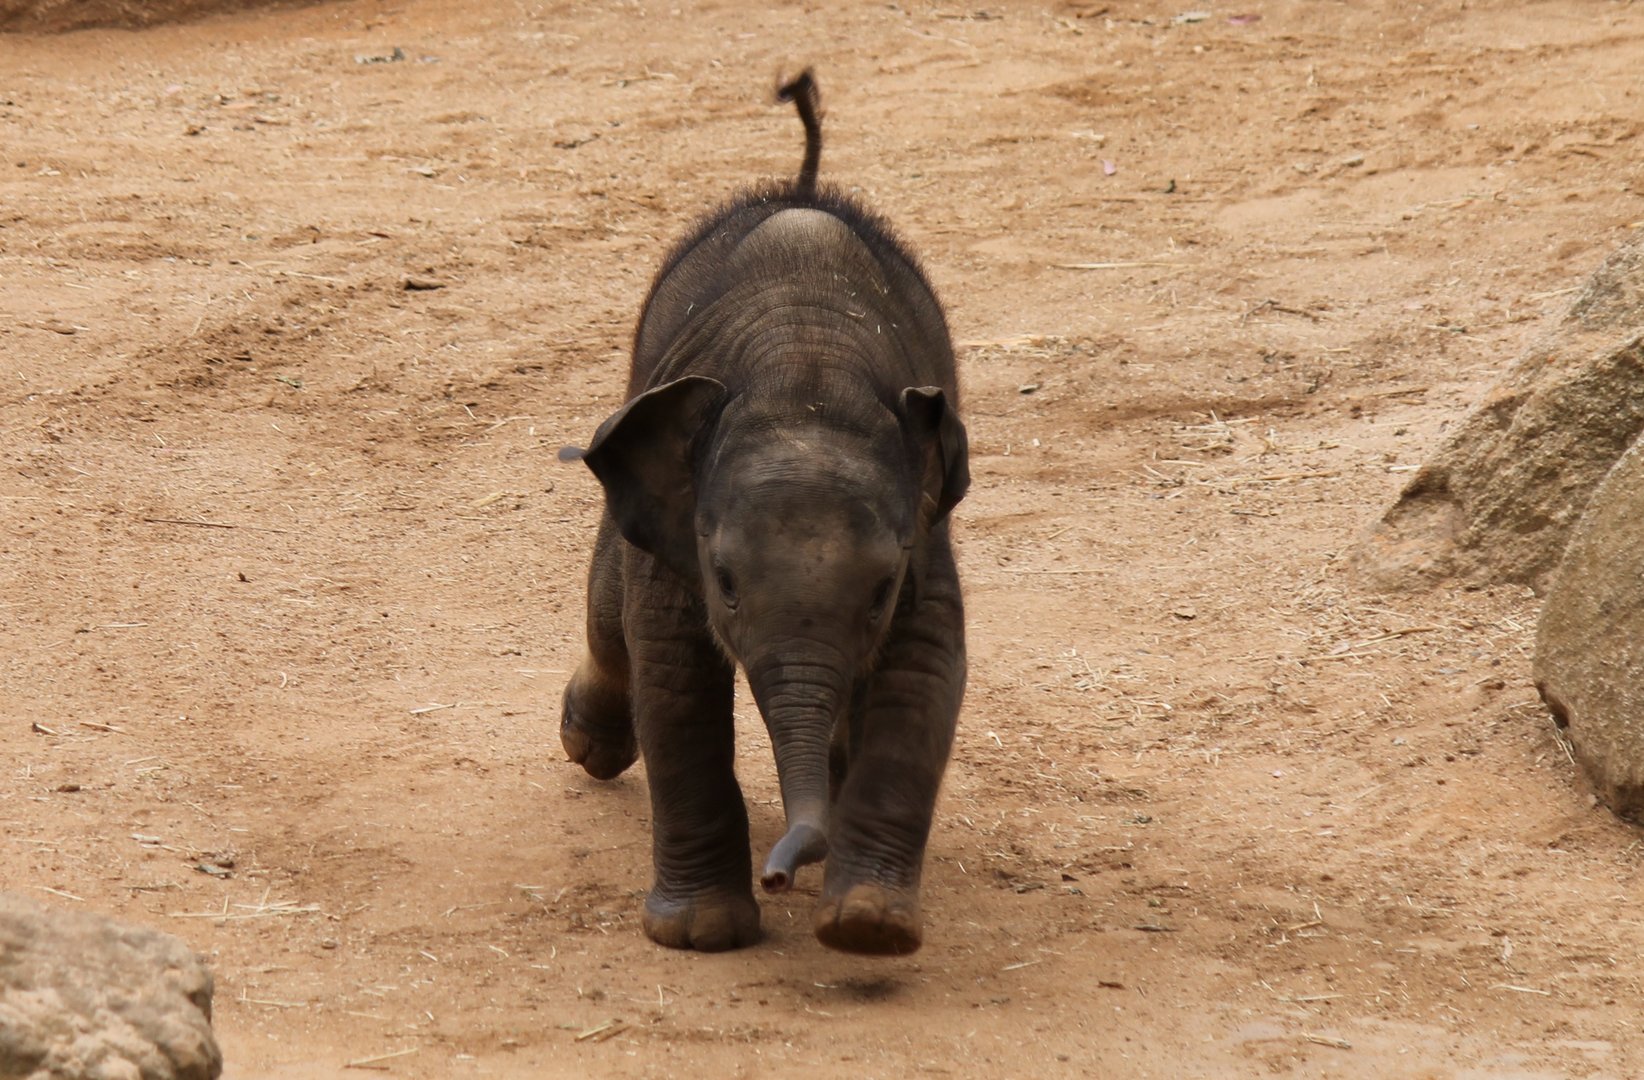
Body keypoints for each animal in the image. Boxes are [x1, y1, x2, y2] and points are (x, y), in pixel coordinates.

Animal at [559, 70, 968, 957]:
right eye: (726, 584)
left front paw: (867, 926)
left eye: (881, 592)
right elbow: (674, 671)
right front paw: (700, 935)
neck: (807, 372)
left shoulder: (926, 532)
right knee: (607, 614)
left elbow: (925, 668)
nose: (782, 875)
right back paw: (589, 746)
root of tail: (801, 189)